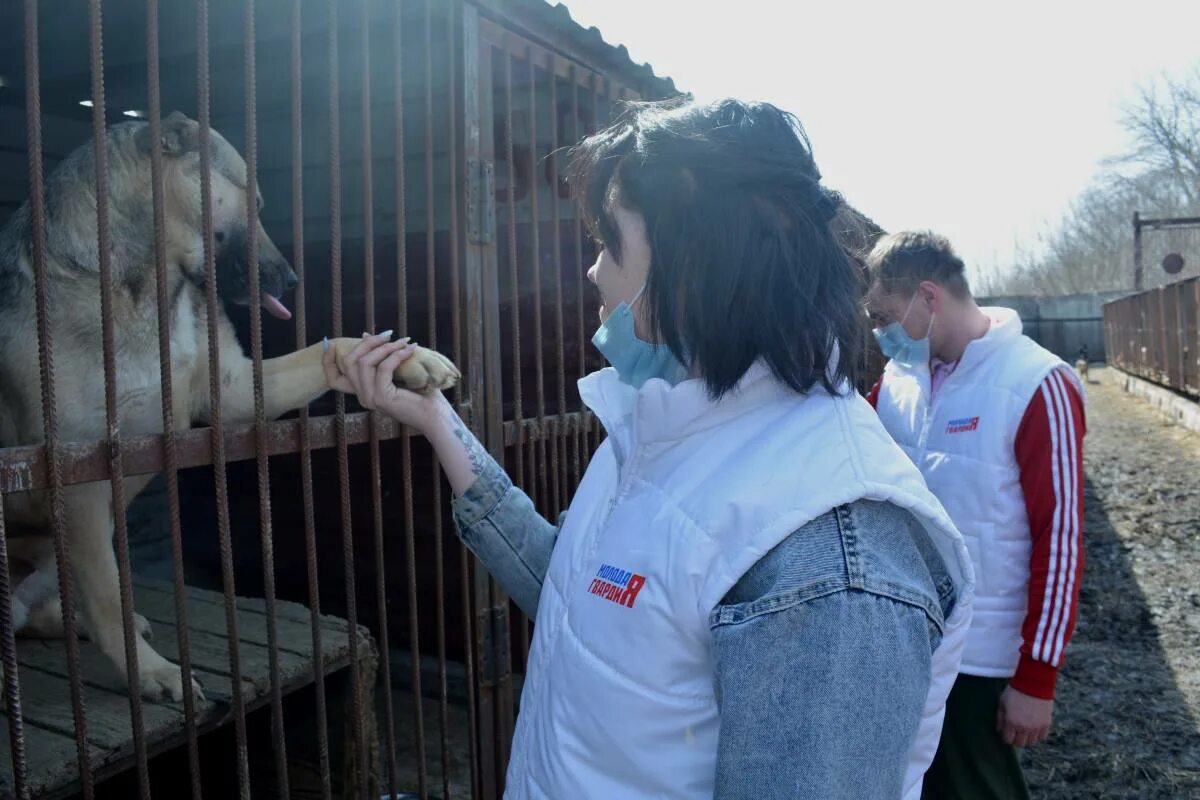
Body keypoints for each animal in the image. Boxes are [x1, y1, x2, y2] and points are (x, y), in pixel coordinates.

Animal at [0, 112, 458, 700]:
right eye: (255, 201)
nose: (293, 281)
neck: (154, 286)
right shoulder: (77, 475)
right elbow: (107, 597)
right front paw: (152, 673)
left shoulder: (237, 389)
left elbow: (331, 348)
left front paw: (408, 358)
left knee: (33, 615)